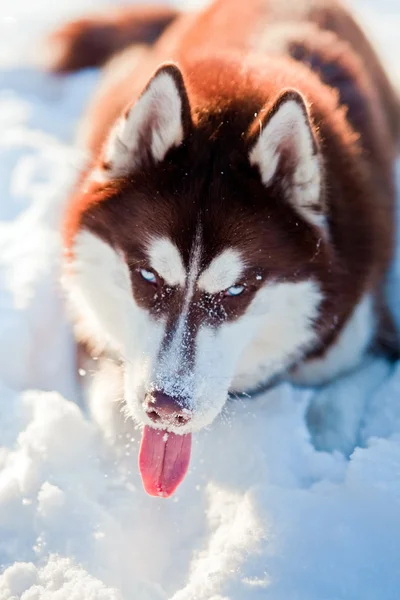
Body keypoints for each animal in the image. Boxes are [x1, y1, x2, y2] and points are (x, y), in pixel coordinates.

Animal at [43, 0, 400, 496]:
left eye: (235, 292)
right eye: (147, 275)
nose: (166, 407)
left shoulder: (372, 337)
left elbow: (334, 405)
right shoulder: (90, 327)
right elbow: (114, 405)